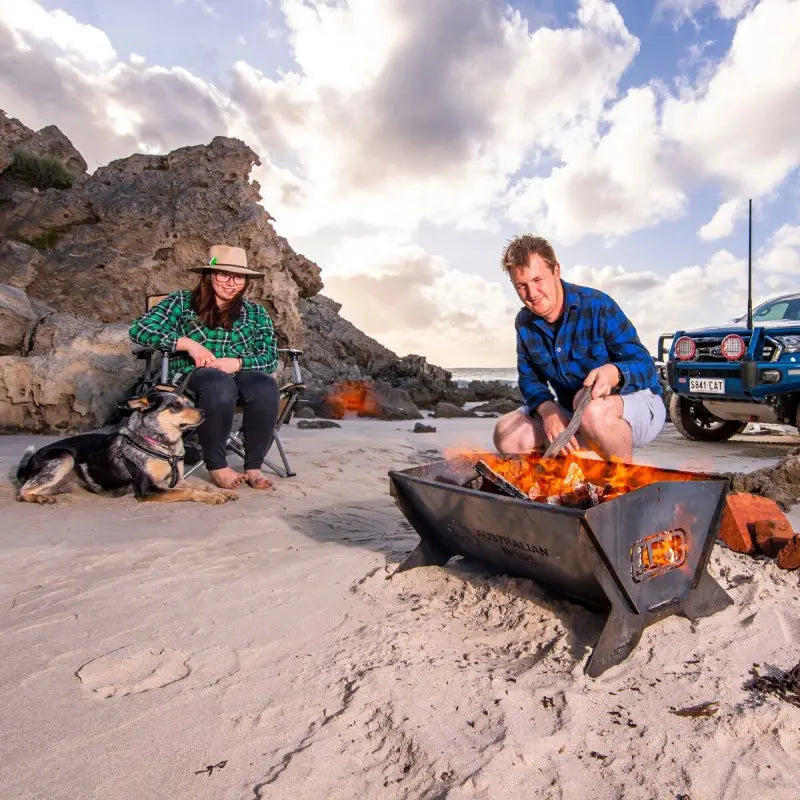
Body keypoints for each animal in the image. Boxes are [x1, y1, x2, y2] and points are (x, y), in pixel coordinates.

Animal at [15, 390, 238, 504]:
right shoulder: (149, 489)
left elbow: (202, 485)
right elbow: (191, 492)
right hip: (64, 458)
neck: (166, 447)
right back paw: (40, 498)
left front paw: (220, 491)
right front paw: (213, 497)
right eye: (175, 406)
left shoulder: (176, 480)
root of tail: (29, 462)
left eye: (189, 402)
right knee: (22, 491)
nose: (204, 413)